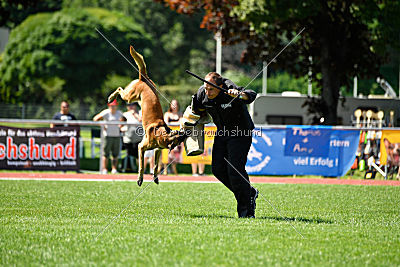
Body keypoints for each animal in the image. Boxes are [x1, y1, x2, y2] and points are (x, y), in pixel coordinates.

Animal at [108, 45, 185, 186]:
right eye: (180, 137)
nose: (185, 131)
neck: (161, 134)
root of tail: (142, 78)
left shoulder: (157, 150)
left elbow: (155, 166)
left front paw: (155, 177)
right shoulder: (141, 147)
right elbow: (142, 166)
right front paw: (140, 179)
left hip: (142, 93)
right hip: (130, 97)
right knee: (120, 89)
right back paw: (111, 97)